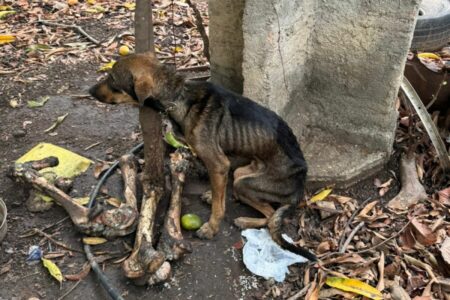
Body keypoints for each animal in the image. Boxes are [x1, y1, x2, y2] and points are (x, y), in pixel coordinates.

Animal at [89, 52, 316, 262]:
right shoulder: (222, 167)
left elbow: (218, 207)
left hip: (246, 182)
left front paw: (211, 228)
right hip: (242, 173)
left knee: (270, 217)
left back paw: (243, 220)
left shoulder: (219, 164)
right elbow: (218, 196)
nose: (89, 91)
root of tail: (300, 186)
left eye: (112, 80)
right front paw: (213, 197)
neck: (178, 95)